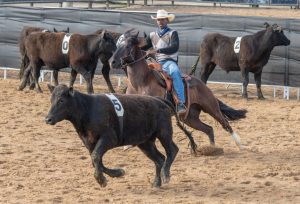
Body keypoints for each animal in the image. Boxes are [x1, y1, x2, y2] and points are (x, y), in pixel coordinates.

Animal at [45, 84, 197, 188]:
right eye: (51, 99)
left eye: (61, 100)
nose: (48, 119)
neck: (87, 109)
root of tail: (159, 100)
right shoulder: (89, 142)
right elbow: (96, 160)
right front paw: (118, 173)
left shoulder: (108, 139)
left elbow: (96, 157)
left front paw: (102, 180)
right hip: (145, 142)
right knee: (159, 158)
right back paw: (156, 183)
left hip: (164, 132)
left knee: (172, 150)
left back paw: (166, 175)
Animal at [109, 31, 247, 149]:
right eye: (117, 44)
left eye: (127, 46)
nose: (112, 62)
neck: (142, 81)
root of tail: (203, 85)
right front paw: (128, 145)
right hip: (190, 117)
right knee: (209, 129)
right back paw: (212, 149)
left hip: (211, 107)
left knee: (225, 124)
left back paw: (240, 145)